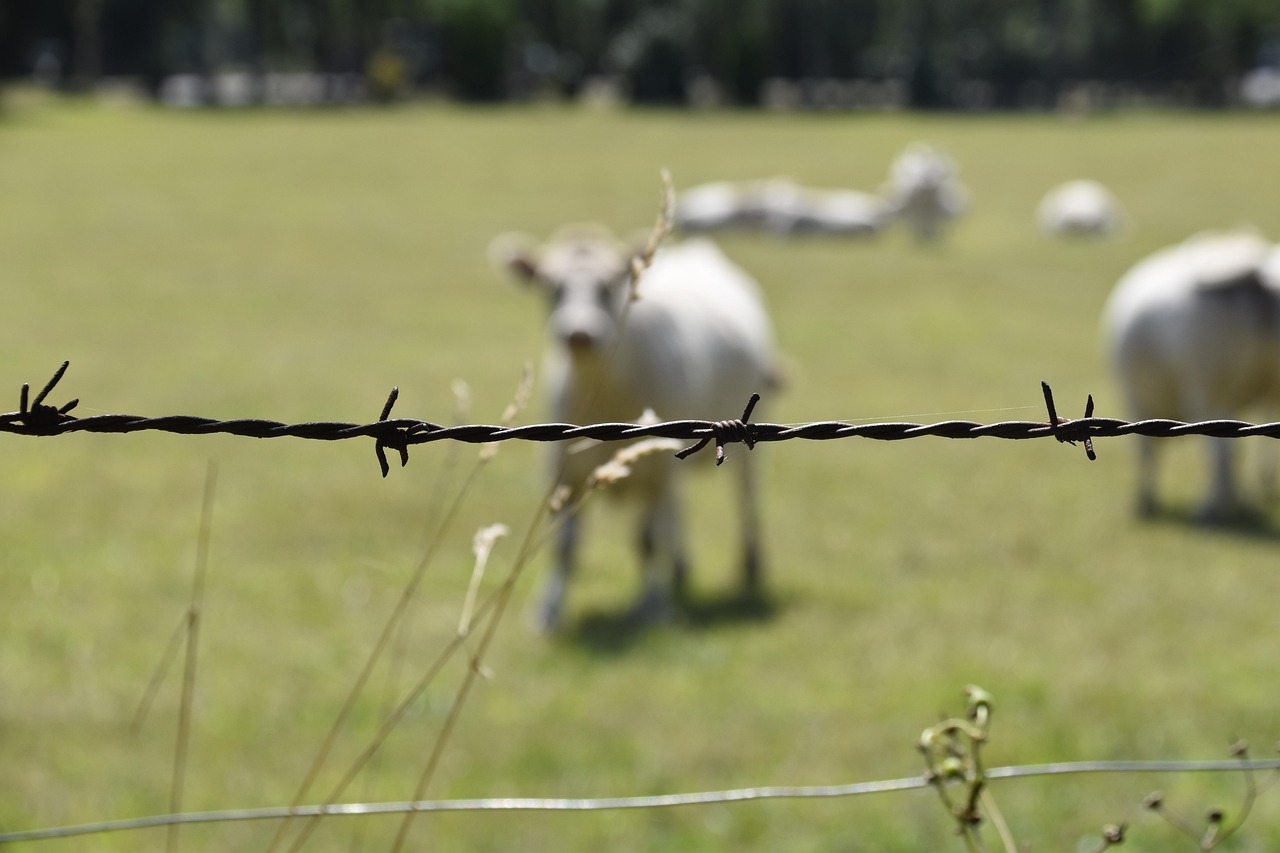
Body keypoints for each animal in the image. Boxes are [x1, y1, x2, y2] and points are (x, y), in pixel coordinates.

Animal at [486, 225, 778, 625]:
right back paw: (681, 568)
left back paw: (750, 566)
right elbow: (566, 544)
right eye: (551, 286)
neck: (607, 396)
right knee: (677, 510)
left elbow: (648, 540)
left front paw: (652, 606)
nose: (578, 333)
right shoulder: (564, 469)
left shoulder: (656, 471)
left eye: (608, 285)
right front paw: (549, 608)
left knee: (744, 498)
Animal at [1100, 227, 1280, 517]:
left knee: (1222, 453)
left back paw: (1211, 509)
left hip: (1210, 392)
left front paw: (1145, 500)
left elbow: (1146, 452)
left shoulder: (1135, 398)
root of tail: (1256, 275)